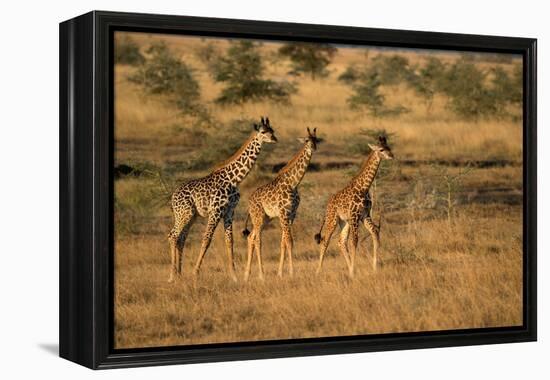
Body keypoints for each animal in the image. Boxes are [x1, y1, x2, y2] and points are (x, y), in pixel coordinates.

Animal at [167, 116, 280, 282]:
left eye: (272, 130)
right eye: (263, 132)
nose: (275, 139)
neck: (234, 179)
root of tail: (173, 197)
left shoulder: (229, 211)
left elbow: (230, 241)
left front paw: (234, 275)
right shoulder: (216, 210)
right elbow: (206, 239)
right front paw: (195, 272)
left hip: (191, 216)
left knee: (181, 238)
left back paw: (179, 274)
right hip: (185, 214)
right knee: (173, 236)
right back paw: (172, 276)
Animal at [243, 127, 324, 280]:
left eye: (316, 140)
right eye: (306, 140)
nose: (314, 148)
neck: (293, 183)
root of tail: (249, 201)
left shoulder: (291, 214)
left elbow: (283, 243)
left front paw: (280, 273)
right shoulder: (284, 213)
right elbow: (289, 242)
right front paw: (292, 272)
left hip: (266, 218)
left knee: (251, 237)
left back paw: (247, 275)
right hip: (258, 217)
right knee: (257, 240)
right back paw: (261, 274)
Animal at [314, 136, 392, 276]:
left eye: (389, 148)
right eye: (381, 149)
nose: (392, 156)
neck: (364, 187)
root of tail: (327, 205)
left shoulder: (365, 215)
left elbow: (375, 232)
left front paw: (374, 267)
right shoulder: (355, 215)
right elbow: (354, 240)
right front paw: (353, 272)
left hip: (344, 222)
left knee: (341, 241)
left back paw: (349, 266)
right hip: (332, 220)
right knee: (325, 241)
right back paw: (318, 271)